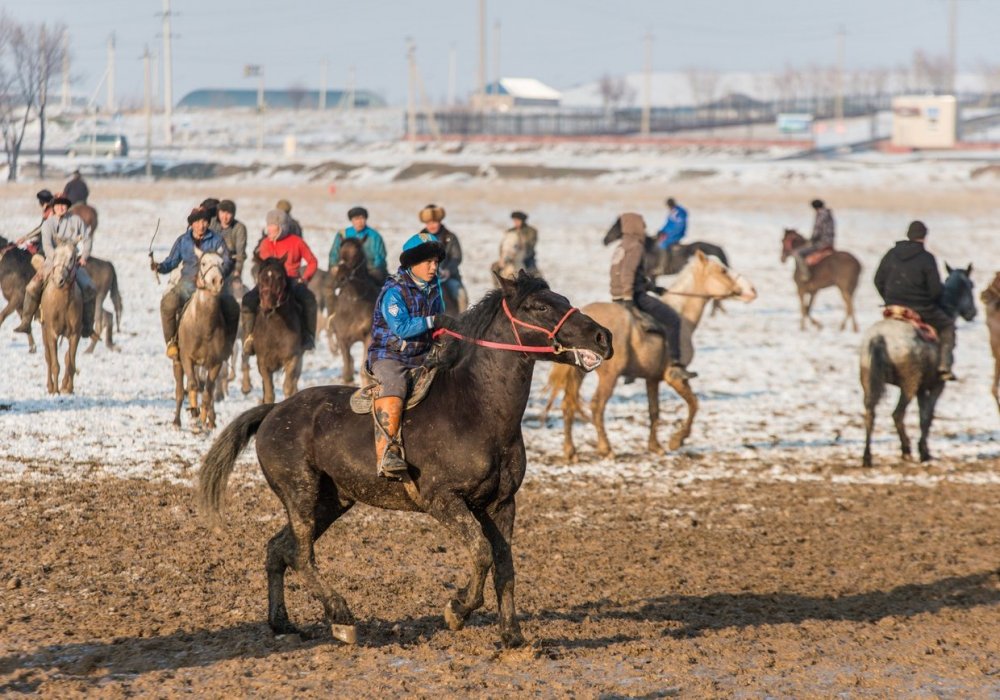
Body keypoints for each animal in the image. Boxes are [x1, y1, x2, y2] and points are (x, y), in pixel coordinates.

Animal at [174, 249, 238, 430]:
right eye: (203, 263)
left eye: (222, 263)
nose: (216, 281)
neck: (204, 328)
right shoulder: (187, 358)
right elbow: (193, 385)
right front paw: (195, 418)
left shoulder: (216, 362)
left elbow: (209, 392)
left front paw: (204, 421)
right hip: (178, 361)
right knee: (181, 388)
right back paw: (177, 421)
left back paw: (211, 420)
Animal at [199, 274, 612, 652]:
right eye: (538, 306)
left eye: (563, 299)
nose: (603, 337)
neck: (477, 410)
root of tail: (274, 411)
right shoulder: (443, 500)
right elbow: (481, 553)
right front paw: (457, 610)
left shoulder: (501, 504)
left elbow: (504, 566)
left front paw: (512, 636)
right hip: (299, 494)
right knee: (301, 556)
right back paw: (342, 618)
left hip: (331, 501)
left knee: (277, 549)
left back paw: (282, 623)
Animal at [324, 239, 378, 382]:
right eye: (340, 253)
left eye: (356, 254)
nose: (340, 278)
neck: (355, 300)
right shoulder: (342, 338)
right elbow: (347, 371)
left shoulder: (368, 336)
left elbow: (364, 372)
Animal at [548, 249, 756, 462]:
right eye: (723, 270)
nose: (752, 290)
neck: (682, 315)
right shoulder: (675, 377)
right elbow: (693, 404)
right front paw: (677, 440)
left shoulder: (652, 379)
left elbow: (654, 411)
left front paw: (655, 446)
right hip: (609, 376)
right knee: (597, 406)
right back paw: (606, 448)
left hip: (579, 372)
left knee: (568, 404)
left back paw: (570, 451)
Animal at [860, 266, 976, 468]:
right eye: (971, 285)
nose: (973, 313)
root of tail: (880, 337)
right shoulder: (936, 385)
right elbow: (927, 417)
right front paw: (924, 453)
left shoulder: (922, 388)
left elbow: (923, 414)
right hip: (909, 383)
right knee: (897, 414)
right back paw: (906, 451)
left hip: (868, 380)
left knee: (870, 414)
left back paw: (867, 457)